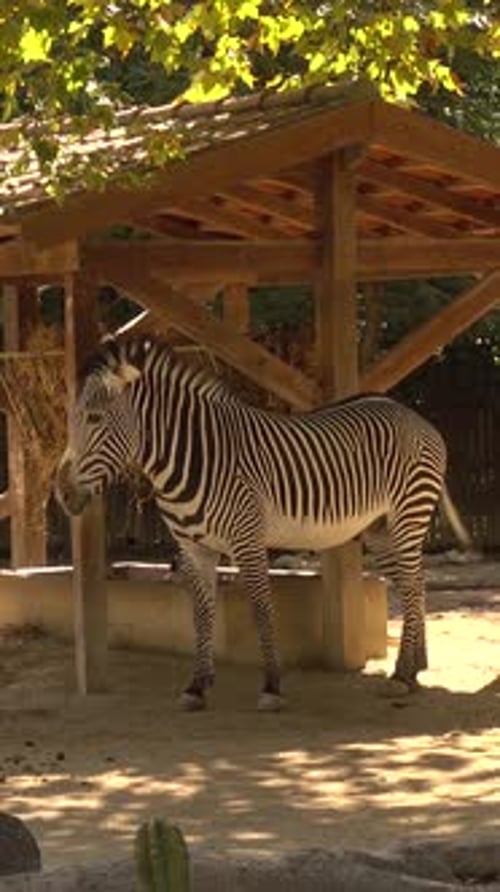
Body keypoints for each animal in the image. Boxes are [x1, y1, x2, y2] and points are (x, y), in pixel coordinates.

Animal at [56, 336, 469, 711]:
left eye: (94, 418)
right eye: (70, 418)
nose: (61, 493)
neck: (195, 457)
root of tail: (410, 414)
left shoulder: (247, 541)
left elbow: (261, 610)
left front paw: (272, 686)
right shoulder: (194, 548)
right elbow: (200, 615)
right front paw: (197, 685)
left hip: (408, 514)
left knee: (412, 587)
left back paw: (401, 676)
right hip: (381, 528)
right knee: (415, 582)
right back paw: (415, 668)